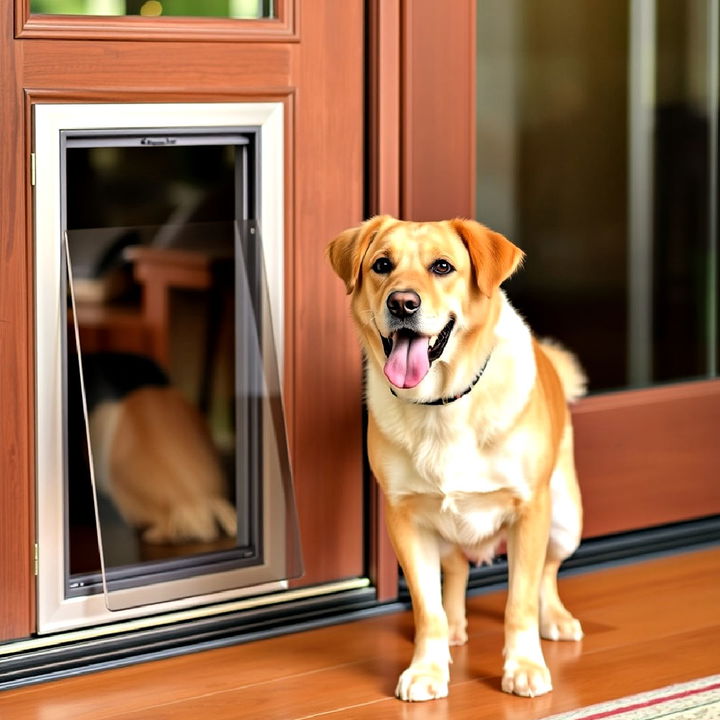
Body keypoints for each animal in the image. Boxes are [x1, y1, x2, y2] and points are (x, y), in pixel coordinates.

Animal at [330, 217, 588, 700]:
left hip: (565, 520)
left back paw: (556, 619)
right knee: (454, 571)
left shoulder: (530, 511)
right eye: (382, 265)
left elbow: (519, 603)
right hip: (442, 533)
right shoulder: (405, 519)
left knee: (547, 574)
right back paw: (453, 627)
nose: (402, 303)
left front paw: (524, 666)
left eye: (442, 266)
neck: (441, 403)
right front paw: (427, 670)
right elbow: (427, 608)